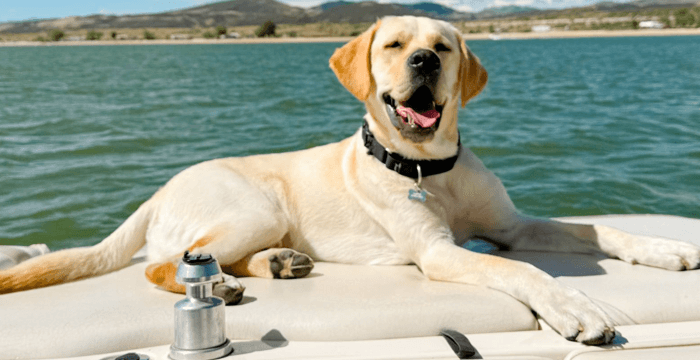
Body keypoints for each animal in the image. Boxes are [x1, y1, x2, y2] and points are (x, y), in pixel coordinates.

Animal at [1, 16, 700, 346]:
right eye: (393, 45)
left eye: (443, 47)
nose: (422, 62)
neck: (428, 167)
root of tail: (157, 192)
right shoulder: (439, 252)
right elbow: (524, 271)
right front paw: (575, 309)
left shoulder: (512, 225)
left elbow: (596, 229)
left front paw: (665, 248)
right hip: (252, 207)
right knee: (163, 264)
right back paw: (223, 284)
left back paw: (276, 265)